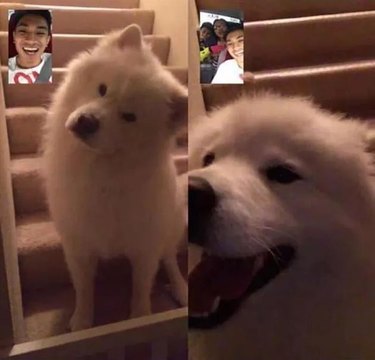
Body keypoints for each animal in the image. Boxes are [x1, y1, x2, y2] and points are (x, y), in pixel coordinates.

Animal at [41, 23, 188, 330]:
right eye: (102, 89)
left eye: (129, 116)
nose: (86, 122)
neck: (102, 172)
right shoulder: (79, 244)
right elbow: (84, 288)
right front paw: (82, 322)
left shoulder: (145, 248)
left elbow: (141, 288)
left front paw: (140, 318)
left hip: (169, 228)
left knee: (170, 259)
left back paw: (181, 289)